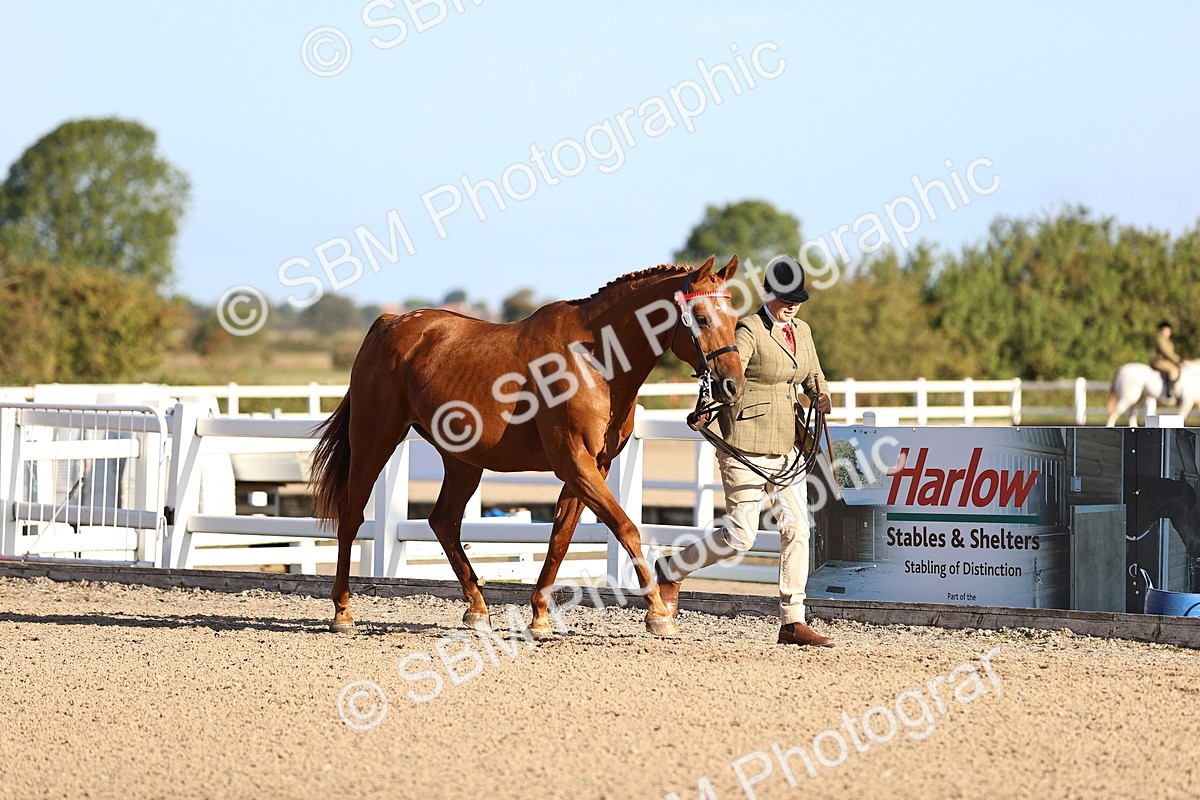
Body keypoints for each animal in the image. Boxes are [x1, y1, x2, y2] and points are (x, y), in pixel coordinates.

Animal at [309, 256, 746, 638]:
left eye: (734, 318)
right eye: (701, 318)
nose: (732, 386)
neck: (595, 361)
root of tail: (388, 324)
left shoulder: (592, 467)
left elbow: (560, 538)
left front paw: (539, 616)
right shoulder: (575, 463)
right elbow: (626, 528)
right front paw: (657, 614)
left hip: (462, 461)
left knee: (444, 522)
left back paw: (477, 609)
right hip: (373, 441)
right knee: (352, 518)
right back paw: (343, 612)